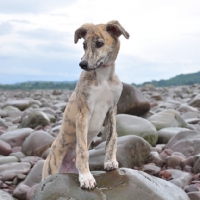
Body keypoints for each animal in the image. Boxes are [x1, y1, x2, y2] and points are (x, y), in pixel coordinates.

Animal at [42, 19, 130, 189]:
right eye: (84, 45)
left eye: (99, 43)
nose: (82, 64)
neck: (103, 77)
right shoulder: (84, 112)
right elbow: (82, 150)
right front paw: (86, 177)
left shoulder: (112, 109)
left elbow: (112, 138)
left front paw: (110, 162)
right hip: (50, 170)